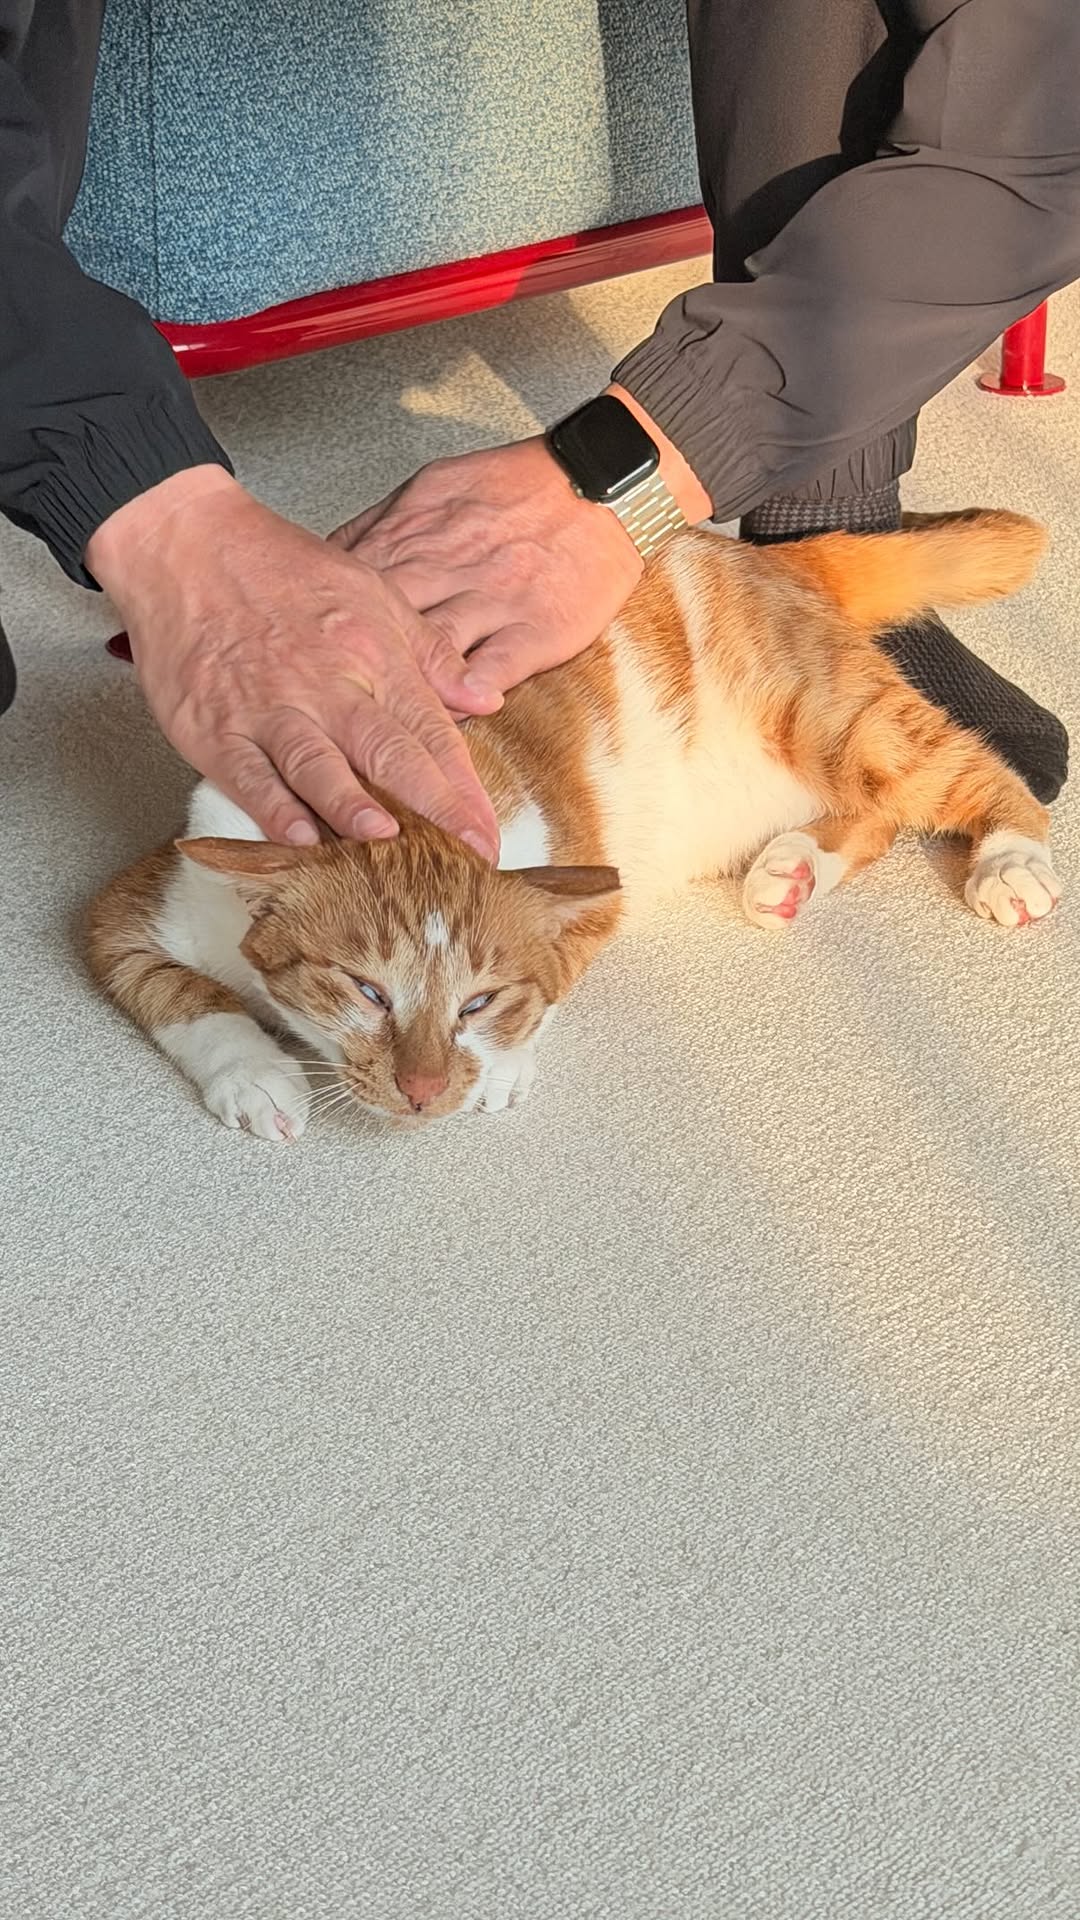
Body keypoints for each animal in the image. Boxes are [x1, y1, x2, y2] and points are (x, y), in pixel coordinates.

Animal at [87, 510, 1062, 1140]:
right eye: (367, 991)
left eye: (478, 1002)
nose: (425, 1092)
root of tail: (758, 553)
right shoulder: (134, 905)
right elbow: (183, 997)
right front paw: (254, 1073)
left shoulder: (589, 879)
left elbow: (556, 973)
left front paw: (504, 1064)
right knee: (876, 815)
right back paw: (791, 871)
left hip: (829, 718)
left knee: (962, 770)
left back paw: (1011, 857)